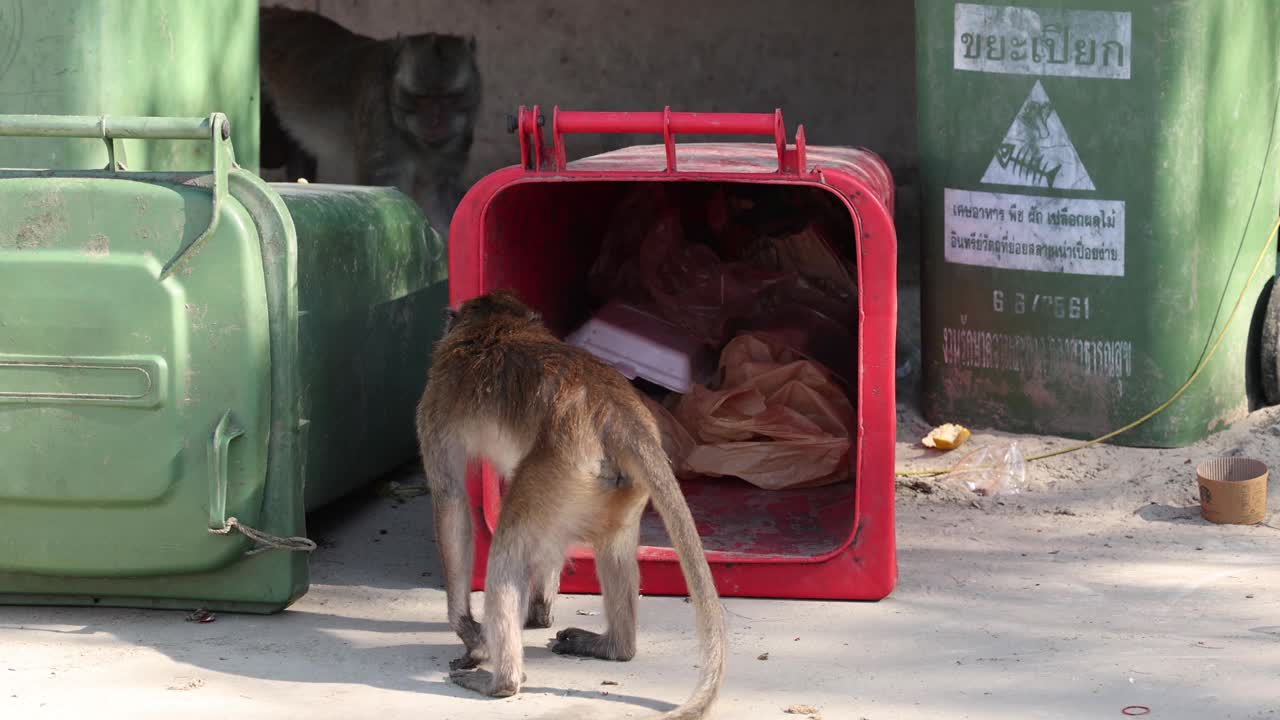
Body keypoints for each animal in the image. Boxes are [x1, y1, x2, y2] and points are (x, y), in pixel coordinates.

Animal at [414, 289, 727, 717]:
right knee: (612, 546)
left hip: (561, 468)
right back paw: (615, 648)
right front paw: (539, 610)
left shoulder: (437, 397)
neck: (496, 326)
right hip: (614, 488)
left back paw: (502, 683)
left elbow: (451, 502)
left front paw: (467, 630)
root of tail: (616, 411)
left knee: (507, 545)